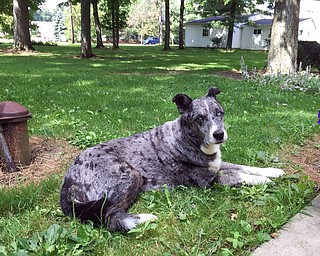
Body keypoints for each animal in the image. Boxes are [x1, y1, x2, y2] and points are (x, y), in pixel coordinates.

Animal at [60, 87, 284, 231]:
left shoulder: (217, 164)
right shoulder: (208, 181)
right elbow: (237, 175)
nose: (219, 134)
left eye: (219, 113)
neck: (189, 139)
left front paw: (271, 171)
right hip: (131, 176)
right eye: (200, 118)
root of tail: (68, 181)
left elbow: (244, 166)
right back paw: (144, 218)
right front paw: (262, 180)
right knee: (108, 218)